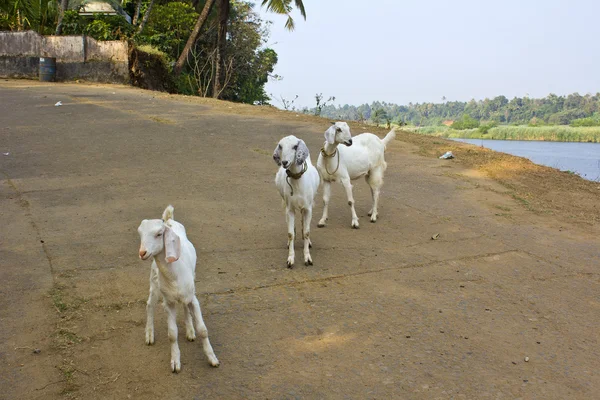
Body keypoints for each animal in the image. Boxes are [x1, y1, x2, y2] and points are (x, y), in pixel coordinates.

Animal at [137, 206, 219, 372]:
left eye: (159, 234)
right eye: (140, 233)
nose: (142, 253)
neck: (174, 273)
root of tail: (169, 220)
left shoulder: (193, 298)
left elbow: (203, 329)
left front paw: (212, 358)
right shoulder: (168, 303)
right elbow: (172, 334)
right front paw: (175, 361)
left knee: (185, 306)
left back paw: (190, 331)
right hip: (154, 283)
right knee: (150, 305)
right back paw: (149, 334)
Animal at [274, 135, 322, 268]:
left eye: (295, 146)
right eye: (280, 146)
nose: (284, 162)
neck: (297, 182)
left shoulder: (308, 208)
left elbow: (306, 232)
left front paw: (307, 258)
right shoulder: (289, 208)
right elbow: (290, 233)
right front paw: (290, 259)